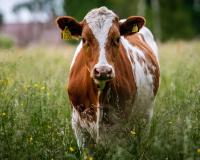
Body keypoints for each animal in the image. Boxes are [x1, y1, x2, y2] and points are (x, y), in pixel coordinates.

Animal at [55, 6, 159, 151]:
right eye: (84, 39)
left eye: (117, 39)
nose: (103, 70)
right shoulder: (79, 127)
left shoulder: (120, 128)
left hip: (145, 118)